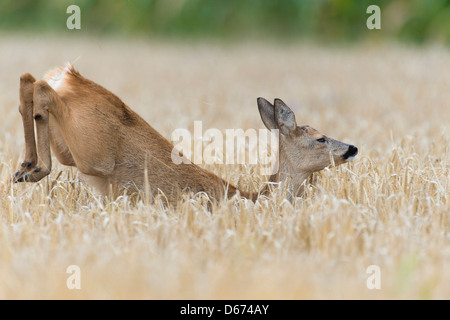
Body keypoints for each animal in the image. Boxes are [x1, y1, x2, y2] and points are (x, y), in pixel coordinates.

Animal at [14, 64, 358, 204]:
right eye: (320, 138)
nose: (352, 148)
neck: (253, 200)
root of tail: (70, 76)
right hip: (92, 152)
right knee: (40, 87)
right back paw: (34, 169)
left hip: (71, 148)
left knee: (29, 79)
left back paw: (25, 167)